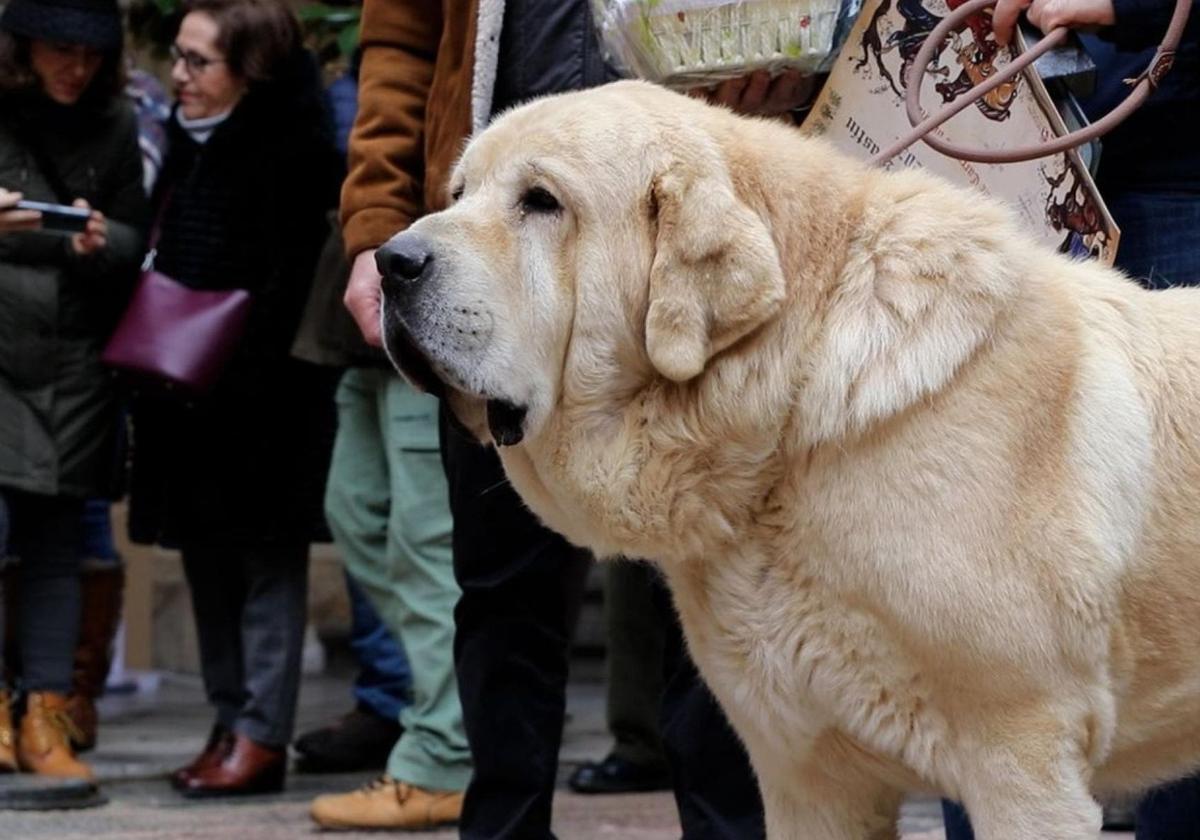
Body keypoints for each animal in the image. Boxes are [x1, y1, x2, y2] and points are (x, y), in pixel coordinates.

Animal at [374, 80, 1200, 840]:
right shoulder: (807, 775)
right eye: (458, 192)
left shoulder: (1023, 762)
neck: (793, 410)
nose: (390, 260)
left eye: (541, 202)